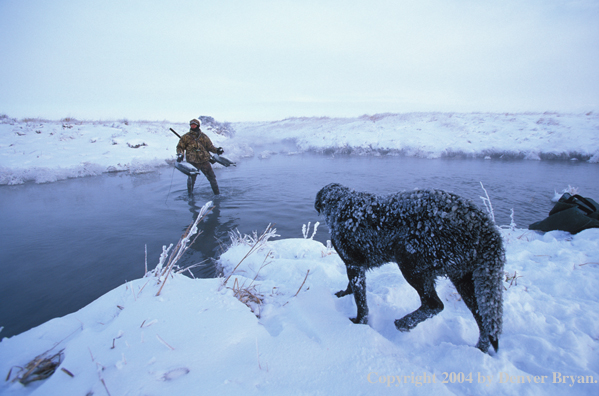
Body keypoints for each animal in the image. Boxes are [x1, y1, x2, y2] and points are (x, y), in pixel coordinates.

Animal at [314, 183, 506, 352]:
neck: (341, 203)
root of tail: (483, 225)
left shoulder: (353, 264)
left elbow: (361, 301)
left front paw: (359, 322)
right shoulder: (356, 266)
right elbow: (352, 288)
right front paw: (344, 294)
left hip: (410, 261)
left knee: (434, 304)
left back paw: (404, 323)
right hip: (464, 279)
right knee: (483, 320)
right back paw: (479, 349)